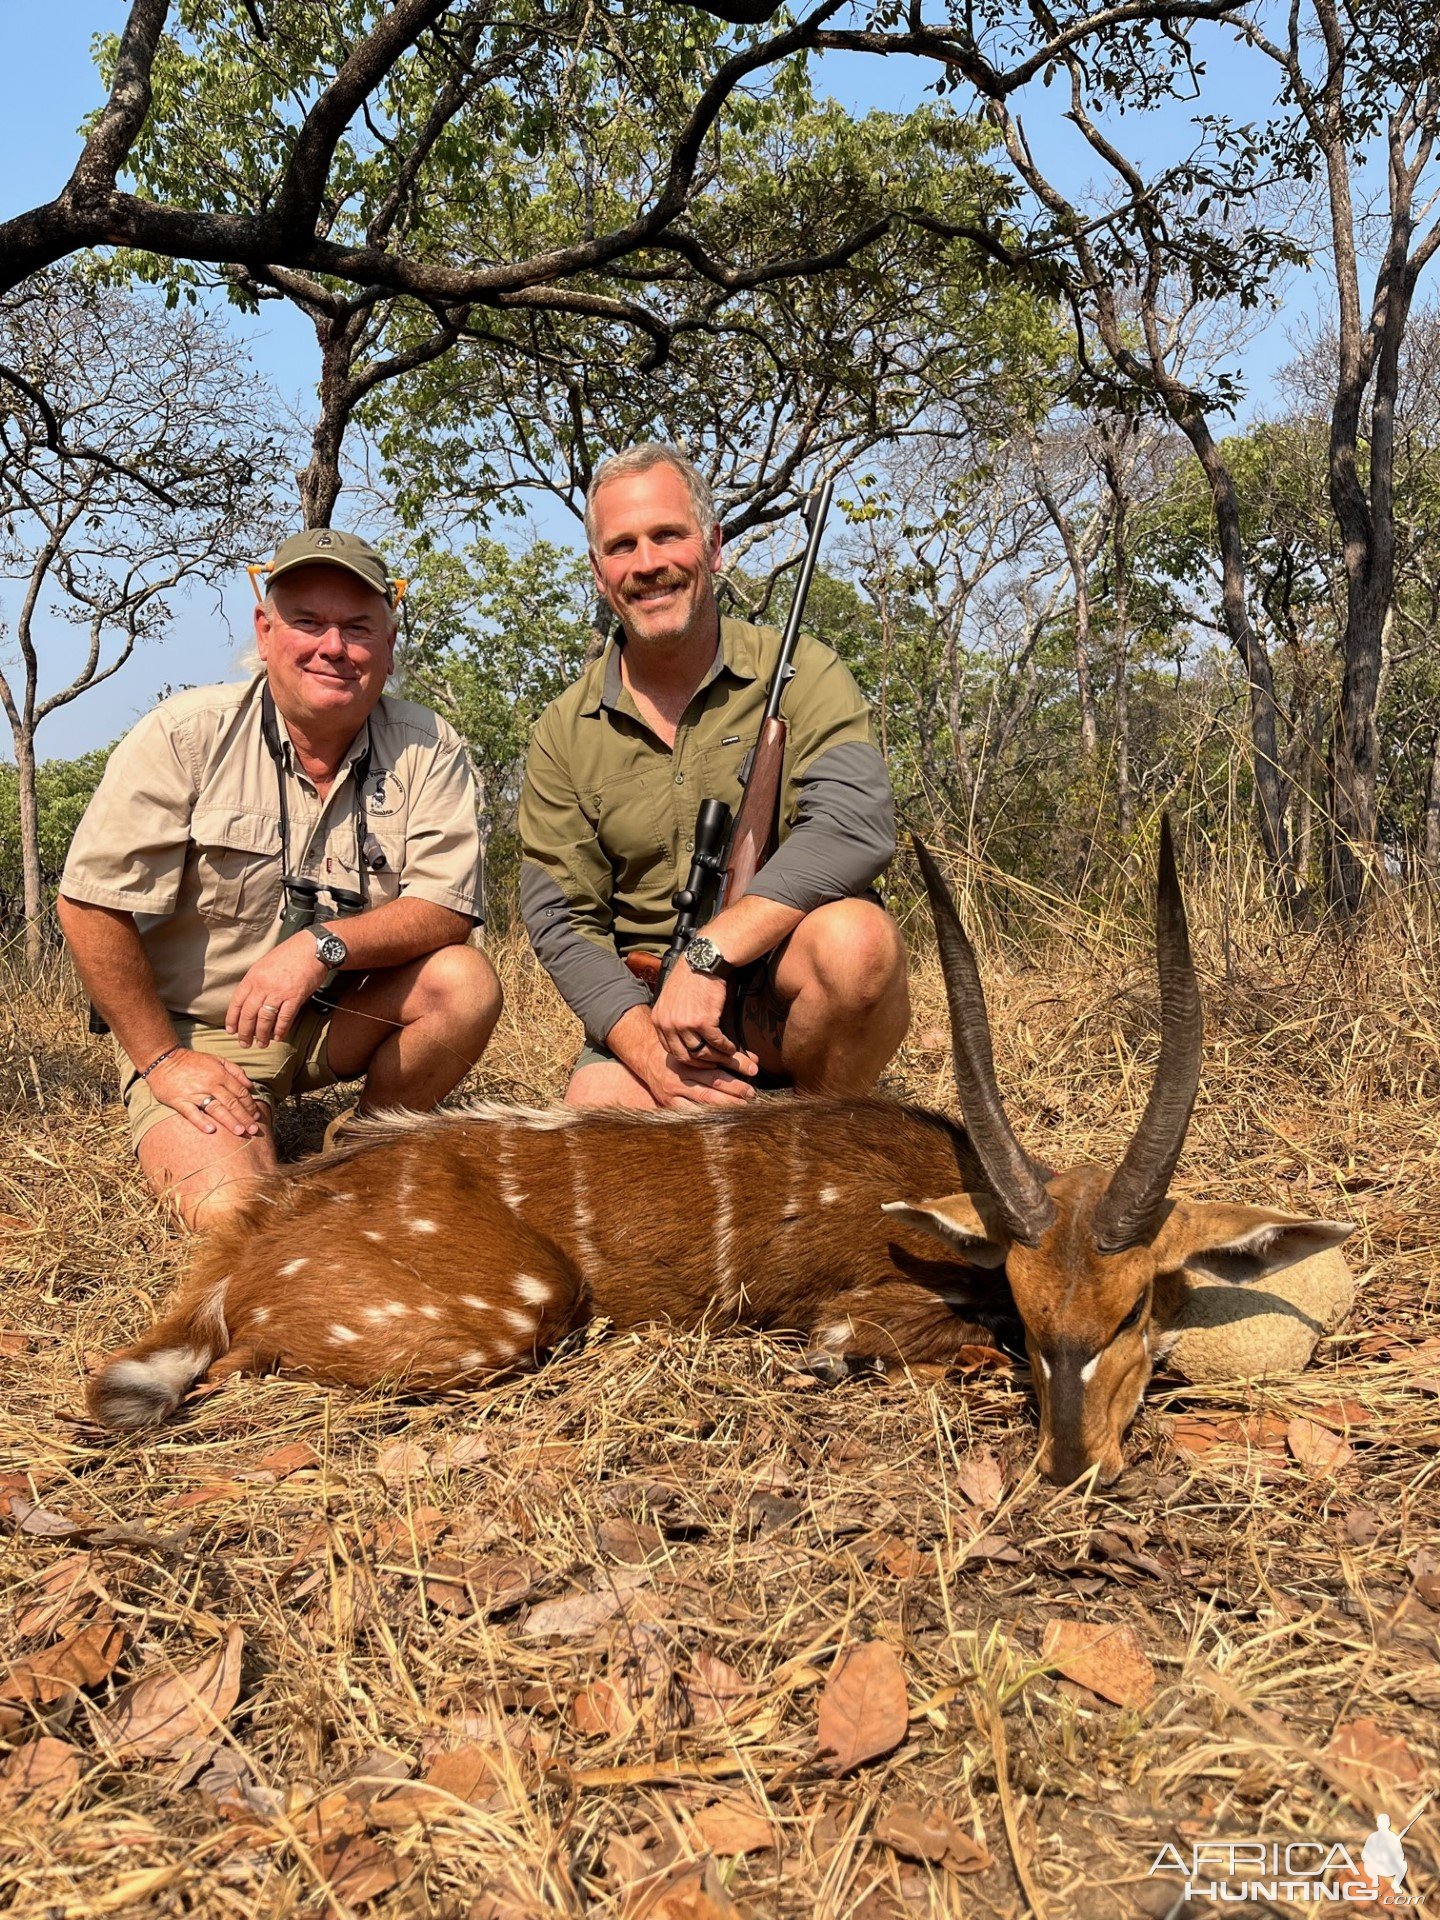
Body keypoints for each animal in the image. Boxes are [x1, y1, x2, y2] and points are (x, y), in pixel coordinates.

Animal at [87, 825, 1351, 1482]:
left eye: (1135, 1306)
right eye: (1034, 1312)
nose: (1074, 1461)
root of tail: (246, 1247)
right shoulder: (854, 1313)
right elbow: (883, 1344)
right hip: (519, 1310)